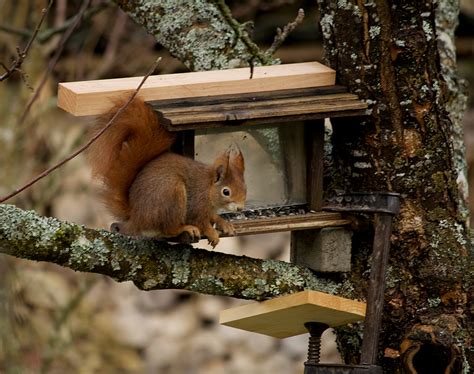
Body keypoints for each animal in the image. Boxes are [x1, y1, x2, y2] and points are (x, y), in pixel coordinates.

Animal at [86, 98, 246, 247]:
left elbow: (213, 216)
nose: (240, 208)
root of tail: (136, 219)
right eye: (226, 192)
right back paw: (185, 228)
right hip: (172, 194)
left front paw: (224, 224)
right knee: (169, 229)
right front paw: (212, 233)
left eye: (245, 189)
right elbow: (200, 221)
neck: (209, 188)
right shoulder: (196, 202)